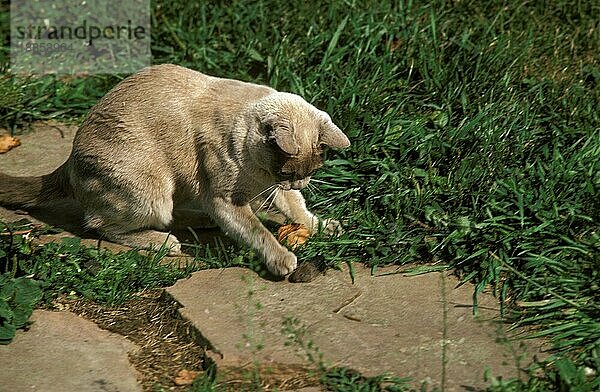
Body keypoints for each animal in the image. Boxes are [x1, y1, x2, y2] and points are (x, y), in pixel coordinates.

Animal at [0, 63, 350, 276]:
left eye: (308, 172)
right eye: (288, 174)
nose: (300, 184)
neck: (258, 173)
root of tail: (70, 158)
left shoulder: (269, 190)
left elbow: (299, 211)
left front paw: (323, 226)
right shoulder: (226, 200)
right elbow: (258, 232)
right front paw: (282, 260)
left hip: (175, 189)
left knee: (165, 216)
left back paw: (197, 222)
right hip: (153, 191)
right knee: (99, 224)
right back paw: (165, 242)